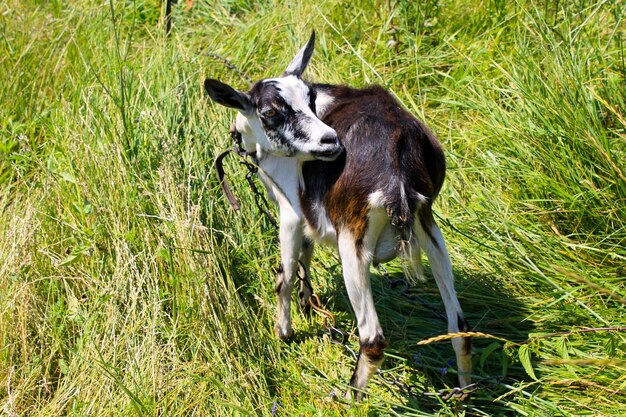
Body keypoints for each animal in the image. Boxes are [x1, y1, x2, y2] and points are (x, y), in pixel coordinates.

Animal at [202, 30, 470, 398]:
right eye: (272, 111)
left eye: (310, 98)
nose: (329, 140)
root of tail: (397, 164)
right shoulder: (311, 216)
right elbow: (306, 254)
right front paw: (307, 302)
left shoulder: (291, 211)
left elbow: (284, 276)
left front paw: (284, 332)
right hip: (427, 223)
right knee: (459, 324)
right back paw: (465, 394)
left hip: (352, 242)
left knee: (373, 339)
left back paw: (348, 397)